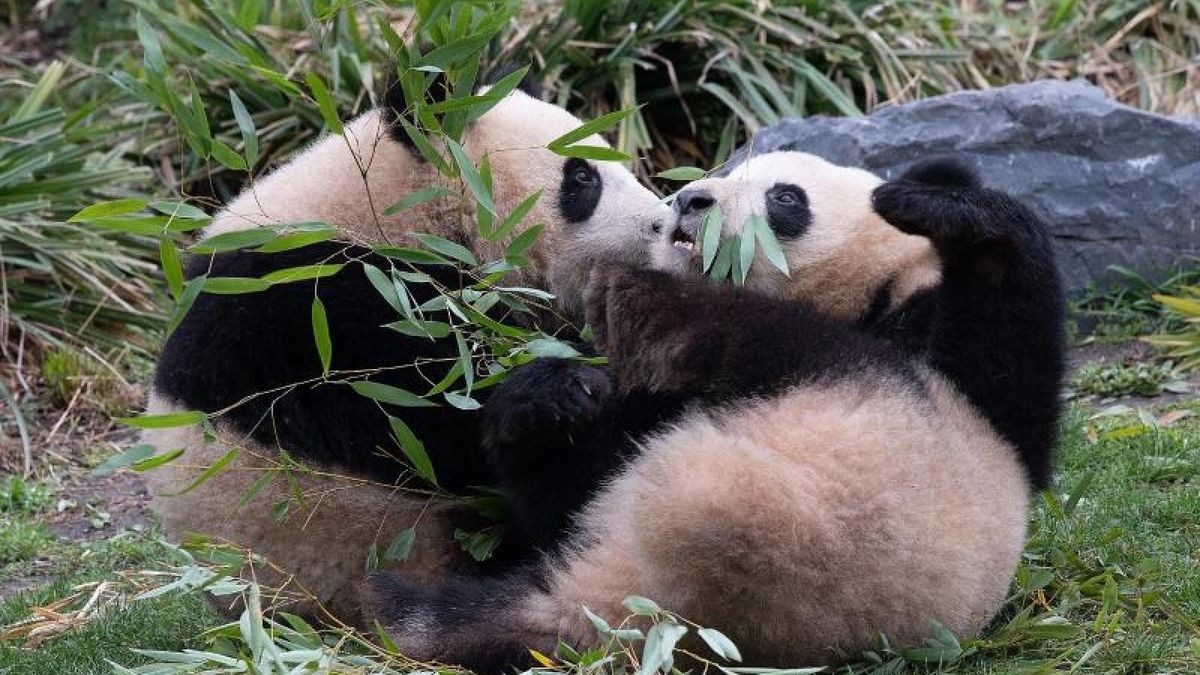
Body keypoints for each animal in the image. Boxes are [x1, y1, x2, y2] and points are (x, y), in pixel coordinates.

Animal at [361, 151, 1065, 672]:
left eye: (786, 199)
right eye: (722, 173)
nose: (690, 201)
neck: (859, 300)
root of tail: (644, 599)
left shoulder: (947, 378)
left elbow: (1007, 365)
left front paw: (935, 204)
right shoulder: (653, 409)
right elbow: (567, 493)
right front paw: (546, 397)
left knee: (762, 338)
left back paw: (640, 296)